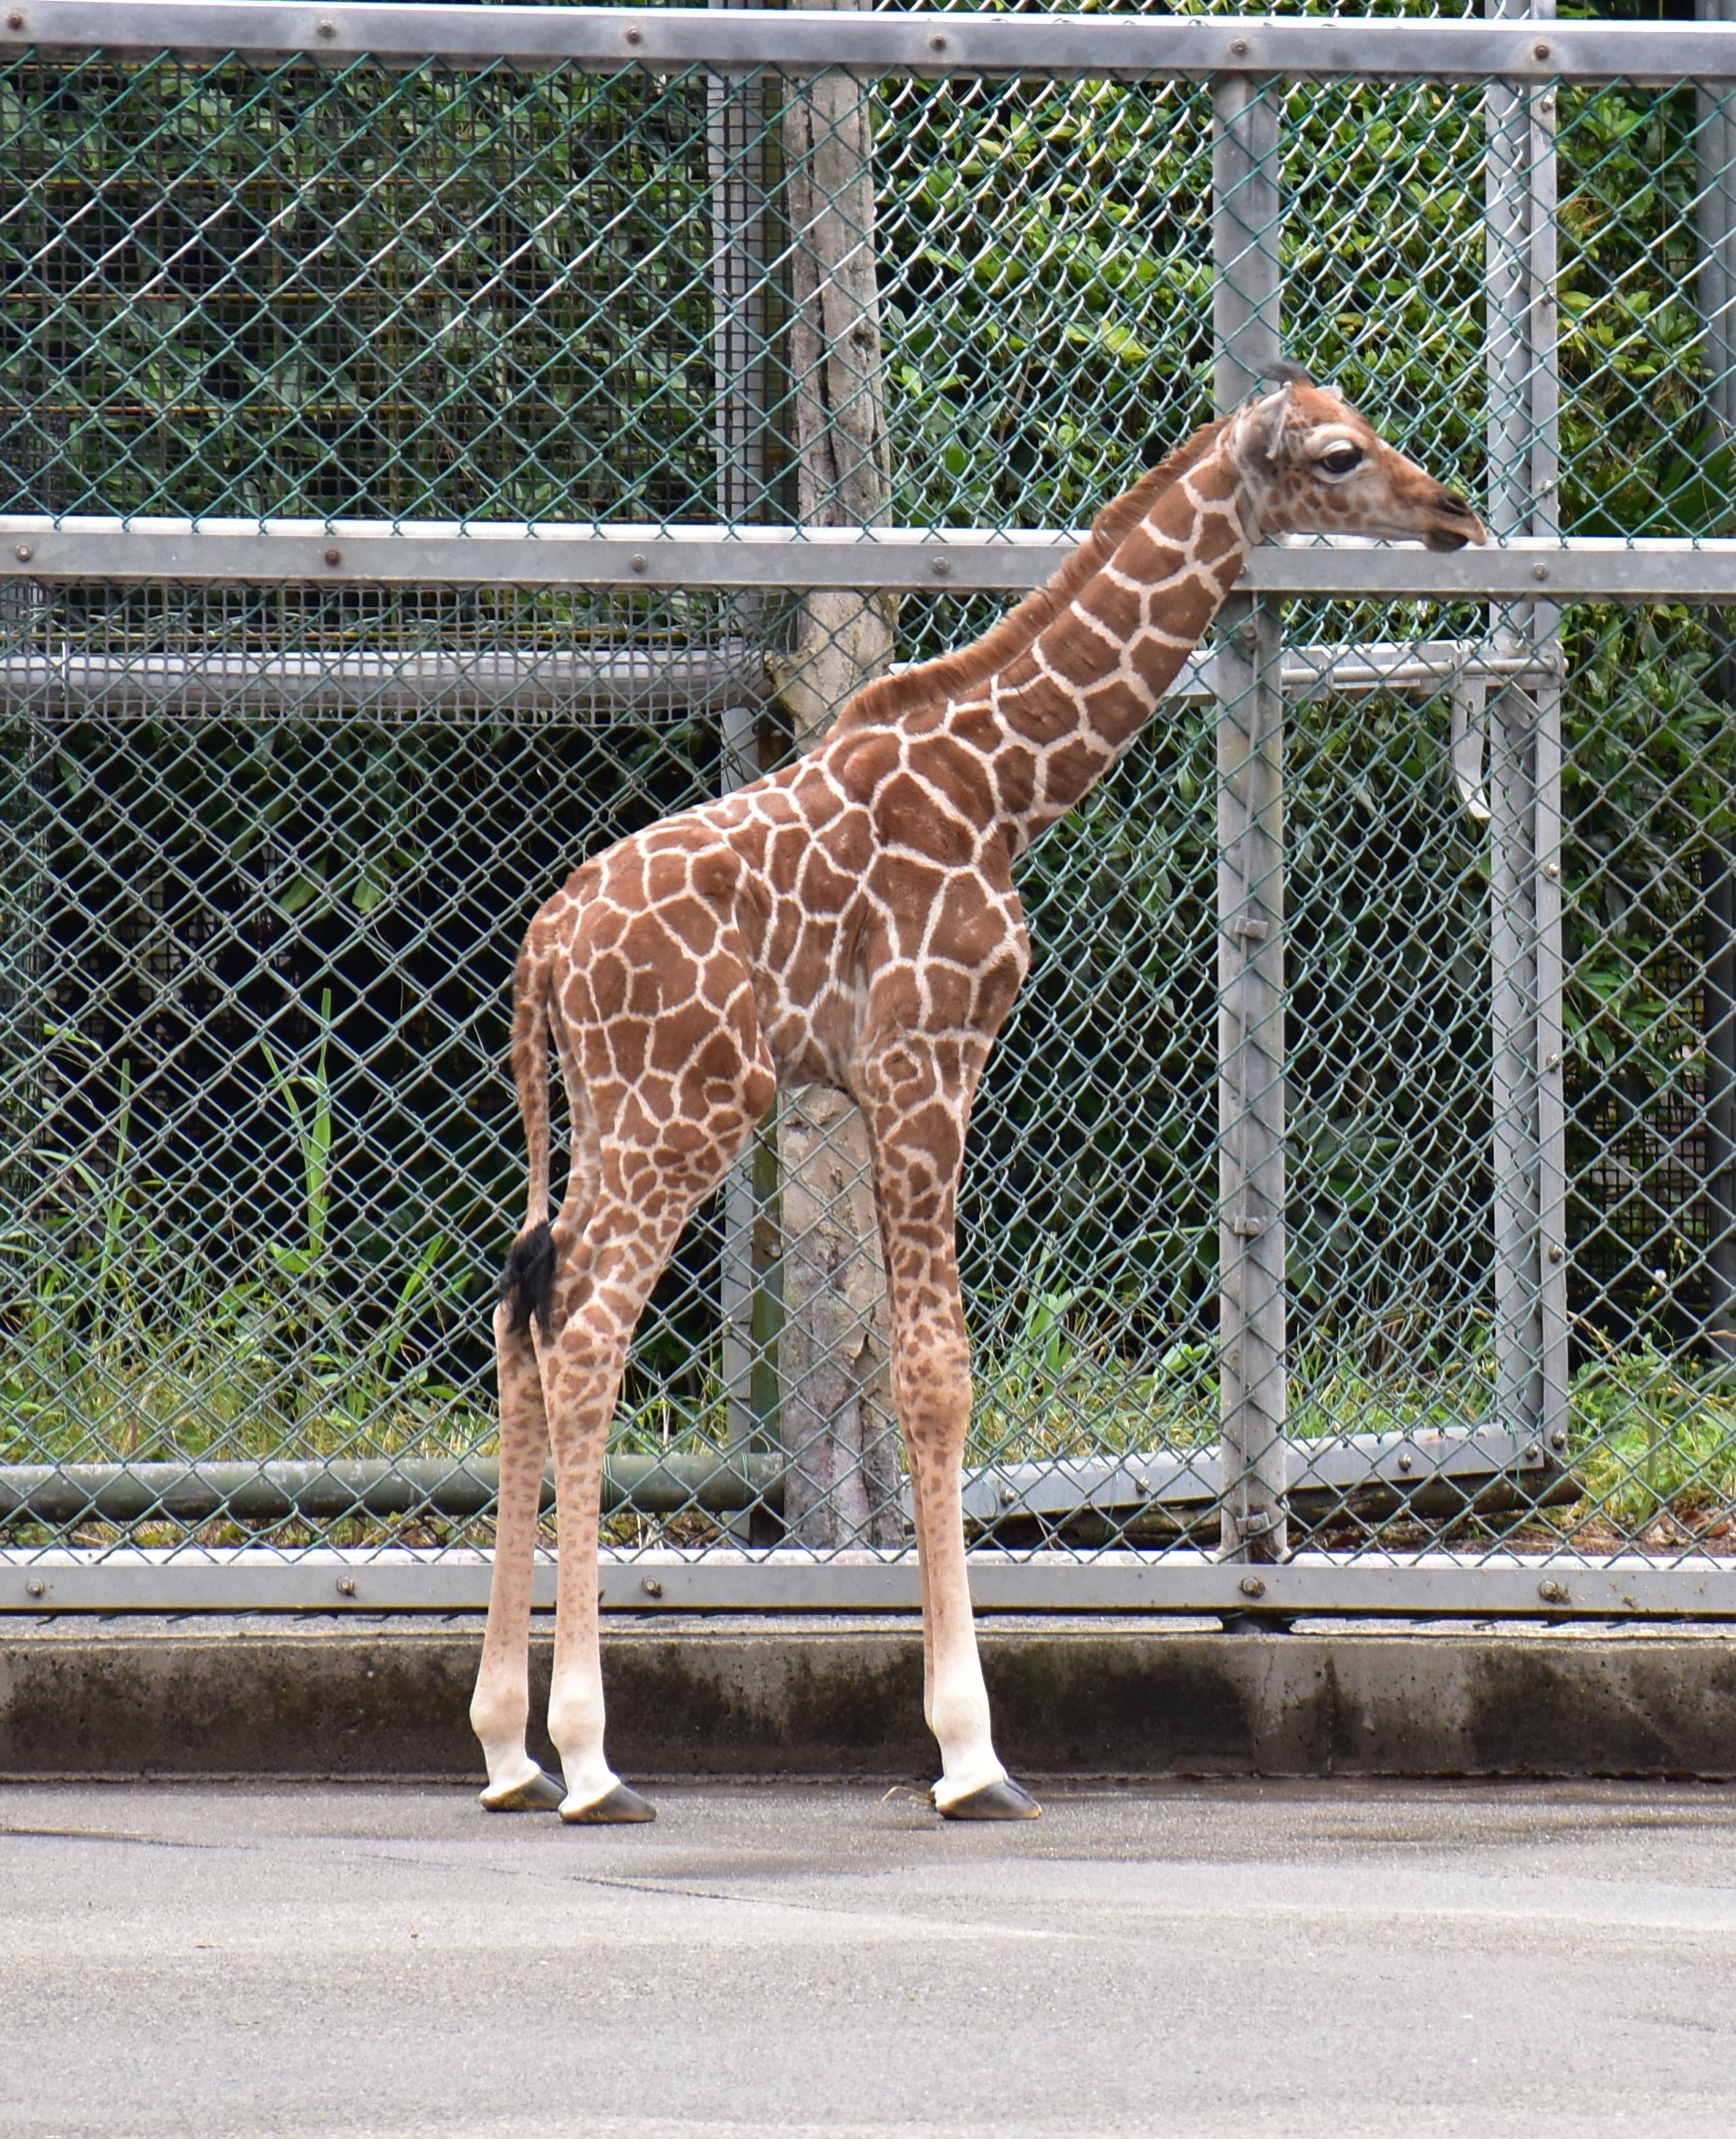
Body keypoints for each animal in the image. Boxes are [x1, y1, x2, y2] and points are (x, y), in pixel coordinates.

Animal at [467, 363, 1488, 1822]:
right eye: (1341, 456)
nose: (1454, 513)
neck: (1005, 782)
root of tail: (544, 947)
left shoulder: (876, 1082)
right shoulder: (925, 1062)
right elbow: (935, 1372)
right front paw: (970, 1752)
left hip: (610, 1115)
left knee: (523, 1317)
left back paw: (507, 1750)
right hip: (687, 1107)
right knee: (588, 1335)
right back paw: (593, 1758)